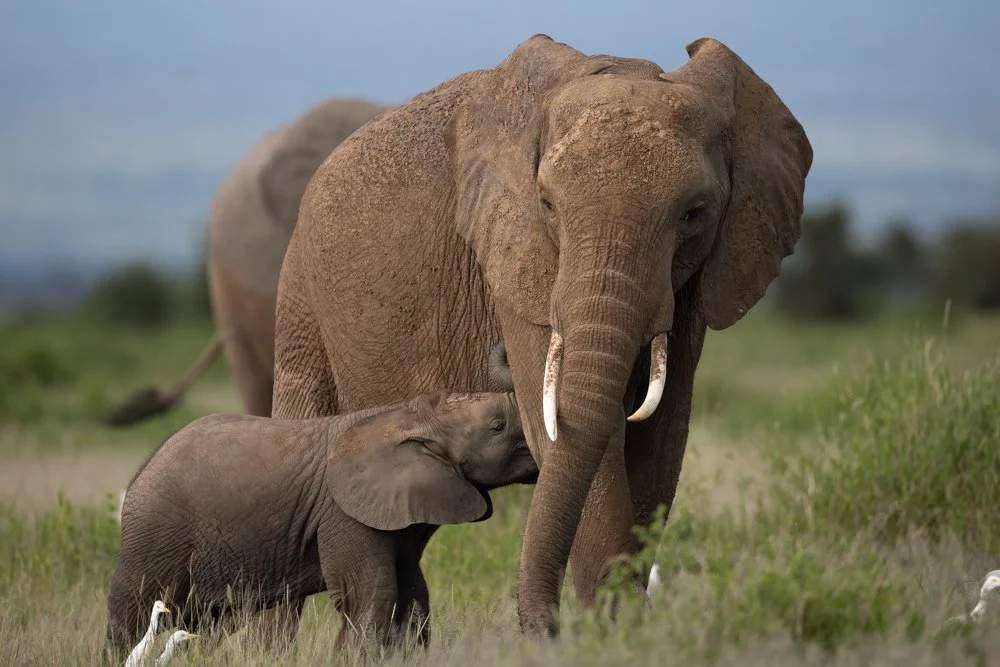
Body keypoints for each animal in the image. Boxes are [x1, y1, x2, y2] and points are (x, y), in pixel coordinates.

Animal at [104, 344, 537, 661]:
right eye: (496, 427)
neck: (411, 414)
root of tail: (143, 468)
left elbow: (414, 595)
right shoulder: (345, 515)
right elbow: (370, 595)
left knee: (208, 622)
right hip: (156, 532)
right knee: (134, 610)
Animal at [270, 34, 813, 636]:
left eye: (695, 214)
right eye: (548, 206)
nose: (543, 628)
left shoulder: (697, 284)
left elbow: (660, 441)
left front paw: (626, 632)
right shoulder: (516, 268)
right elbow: (577, 438)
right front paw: (612, 634)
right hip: (299, 297)